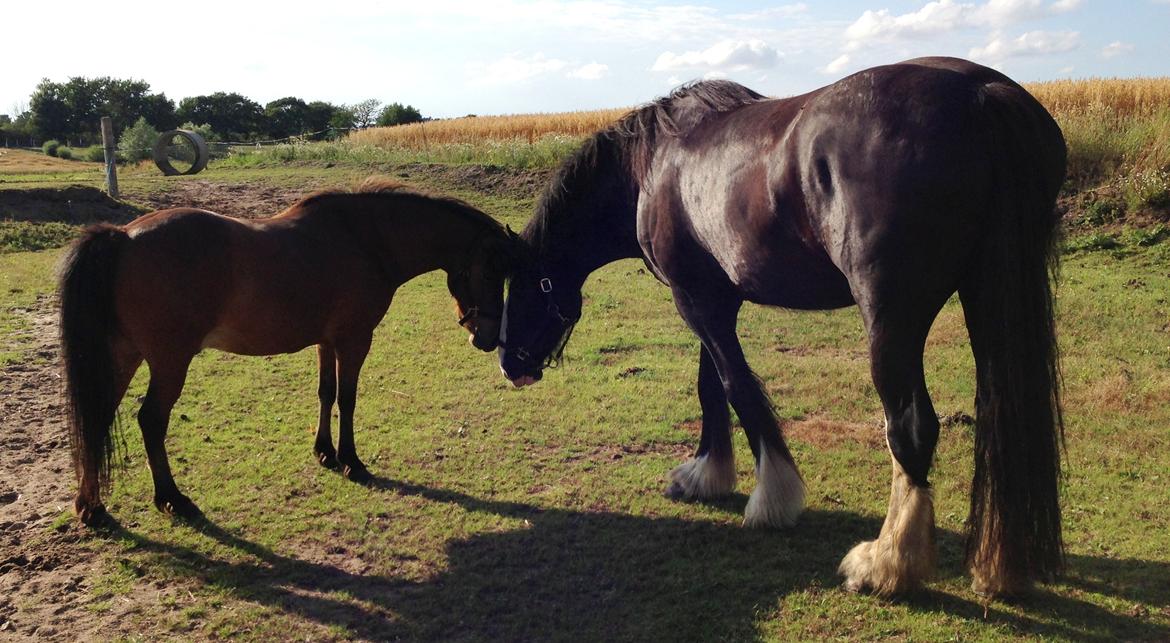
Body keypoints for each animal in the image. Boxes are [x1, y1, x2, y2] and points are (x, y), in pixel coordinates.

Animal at [59, 178, 517, 526]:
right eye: (490, 272)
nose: (487, 338)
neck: (366, 239)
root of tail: (123, 238)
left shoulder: (327, 342)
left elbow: (326, 394)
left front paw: (325, 452)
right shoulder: (355, 340)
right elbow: (348, 399)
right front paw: (352, 461)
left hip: (124, 356)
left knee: (98, 416)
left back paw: (91, 506)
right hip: (169, 361)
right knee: (151, 421)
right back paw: (172, 498)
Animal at [498, 57, 1067, 603]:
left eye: (527, 286)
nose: (508, 363)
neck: (655, 166)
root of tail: (980, 95)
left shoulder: (694, 301)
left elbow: (737, 388)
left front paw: (772, 496)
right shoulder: (714, 300)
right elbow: (711, 387)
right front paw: (705, 474)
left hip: (892, 318)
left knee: (910, 427)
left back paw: (885, 565)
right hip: (988, 292)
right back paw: (996, 567)